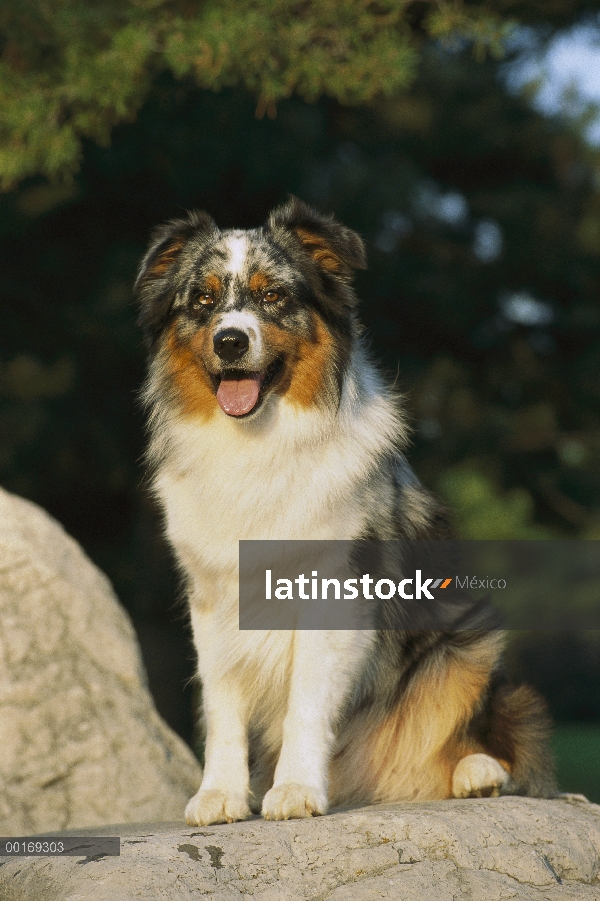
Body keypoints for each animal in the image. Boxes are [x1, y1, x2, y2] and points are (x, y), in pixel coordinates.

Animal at [136, 195, 556, 824]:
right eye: (202, 301)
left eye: (273, 295)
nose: (230, 341)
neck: (259, 442)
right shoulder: (211, 597)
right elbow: (223, 705)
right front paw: (220, 794)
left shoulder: (334, 591)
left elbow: (307, 703)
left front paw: (296, 789)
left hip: (468, 644)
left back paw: (477, 773)